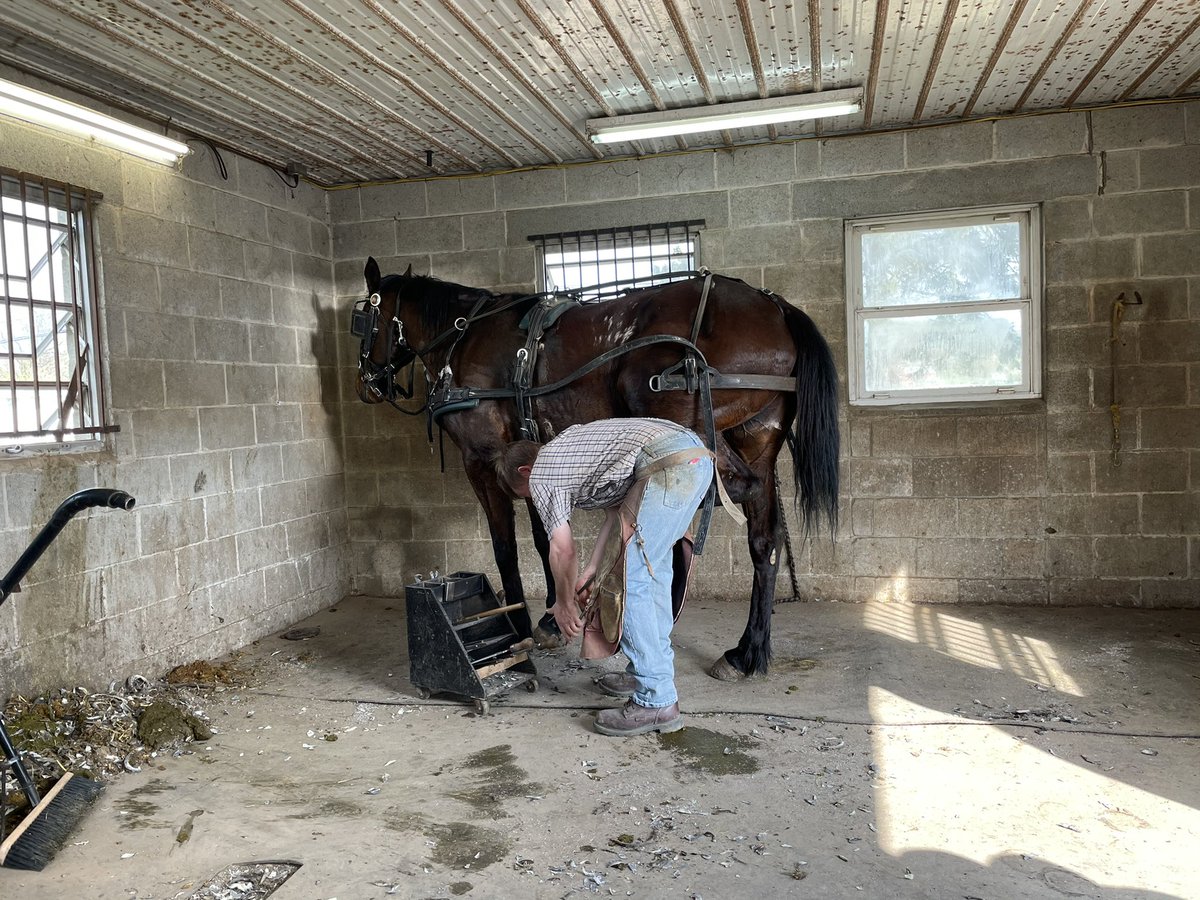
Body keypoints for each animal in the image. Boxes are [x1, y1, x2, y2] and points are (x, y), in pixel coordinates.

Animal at [350, 256, 840, 681]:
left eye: (361, 320)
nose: (365, 386)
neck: (462, 336)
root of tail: (775, 307)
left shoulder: (482, 460)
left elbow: (505, 548)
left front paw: (519, 632)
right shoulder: (533, 453)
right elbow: (543, 538)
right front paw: (551, 615)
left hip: (681, 427)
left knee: (715, 499)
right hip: (756, 439)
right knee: (764, 540)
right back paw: (746, 651)